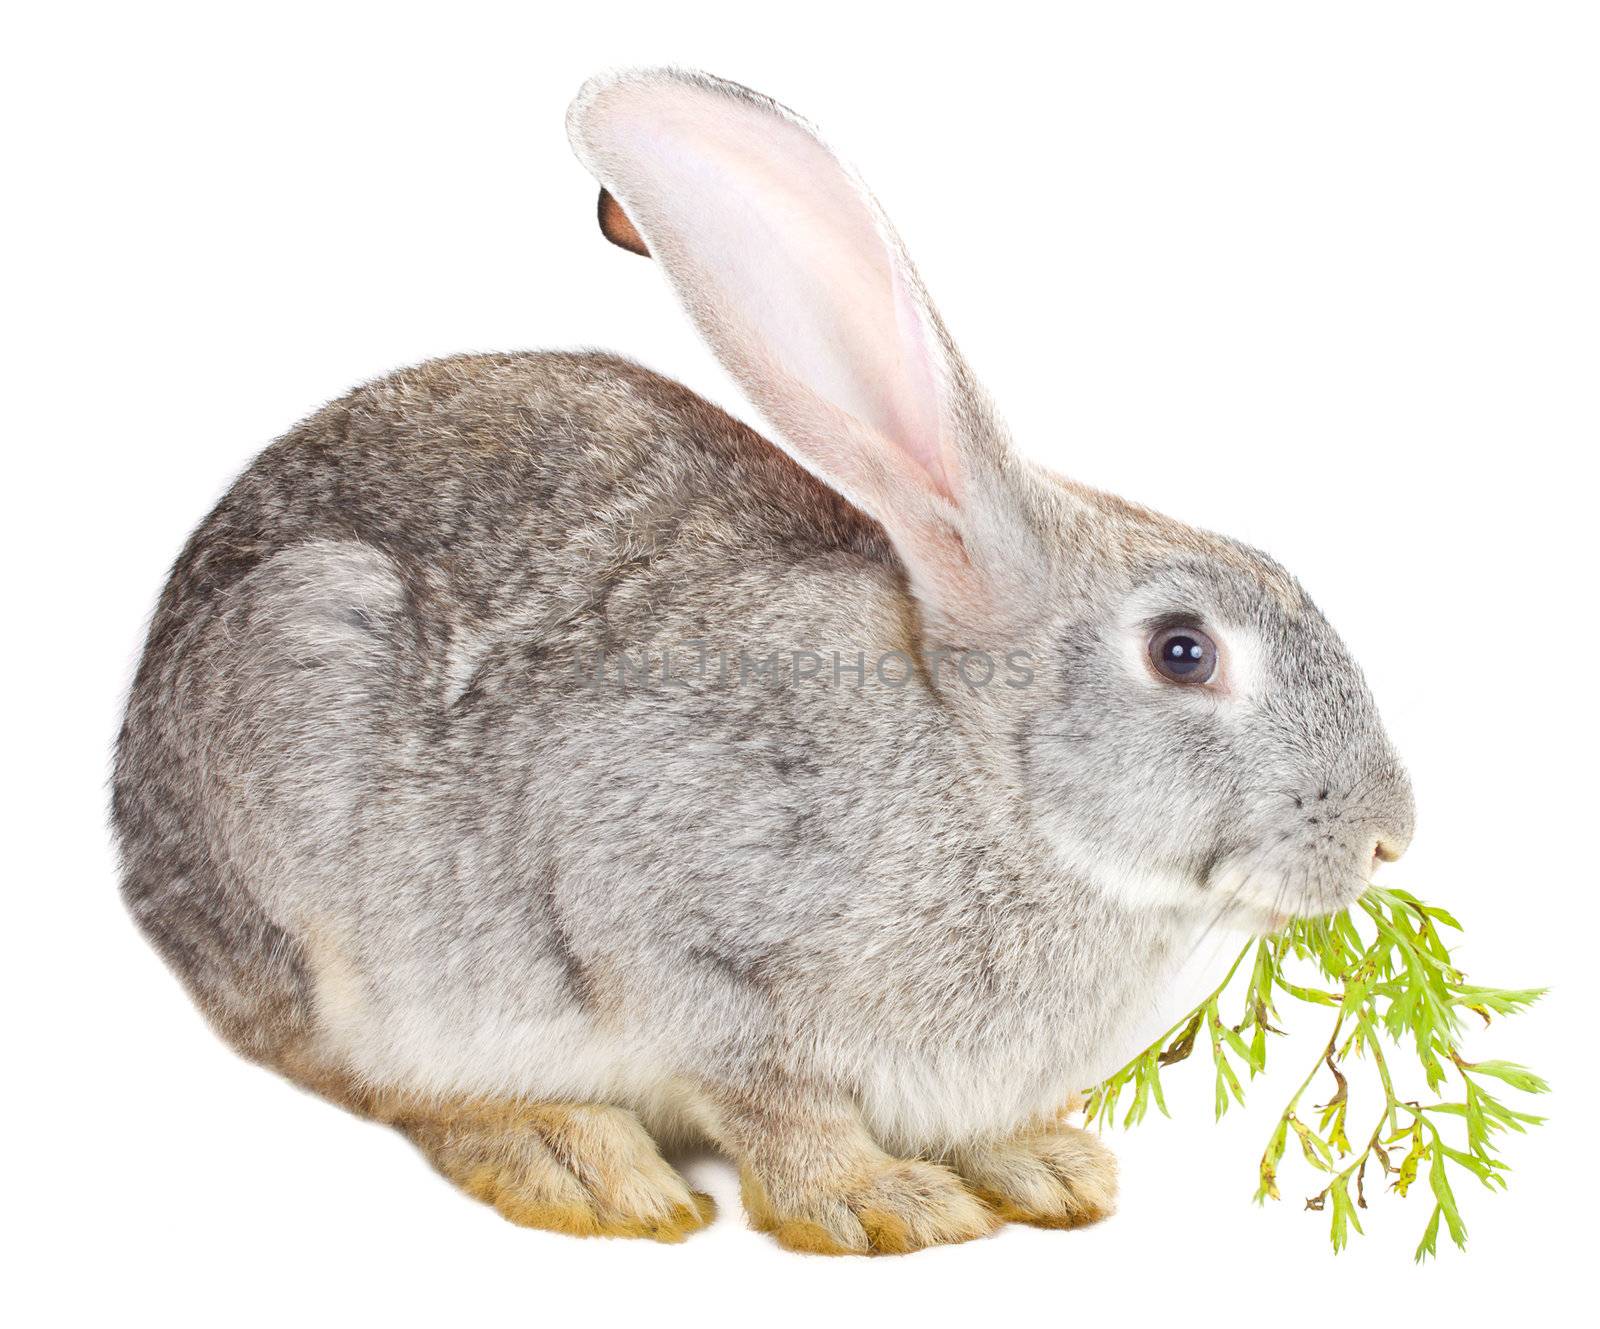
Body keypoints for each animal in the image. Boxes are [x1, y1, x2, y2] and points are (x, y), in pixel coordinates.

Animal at [112, 70, 1414, 1260]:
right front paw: (882, 1203)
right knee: (372, 1075)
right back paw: (576, 1163)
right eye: (1181, 652)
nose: (1387, 838)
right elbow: (778, 1105)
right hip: (320, 795)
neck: (992, 782)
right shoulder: (675, 928)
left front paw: (1046, 1169)